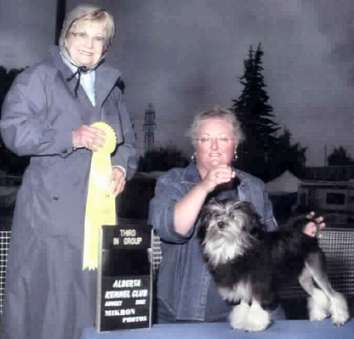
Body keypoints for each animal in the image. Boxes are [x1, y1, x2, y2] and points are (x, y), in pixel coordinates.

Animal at [198, 199, 350, 332]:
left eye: (233, 216)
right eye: (216, 215)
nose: (220, 224)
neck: (238, 246)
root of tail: (309, 238)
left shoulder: (258, 285)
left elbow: (255, 307)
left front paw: (254, 326)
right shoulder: (243, 286)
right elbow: (243, 307)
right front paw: (240, 323)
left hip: (317, 271)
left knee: (333, 294)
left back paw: (340, 319)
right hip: (304, 278)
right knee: (317, 294)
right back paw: (319, 316)